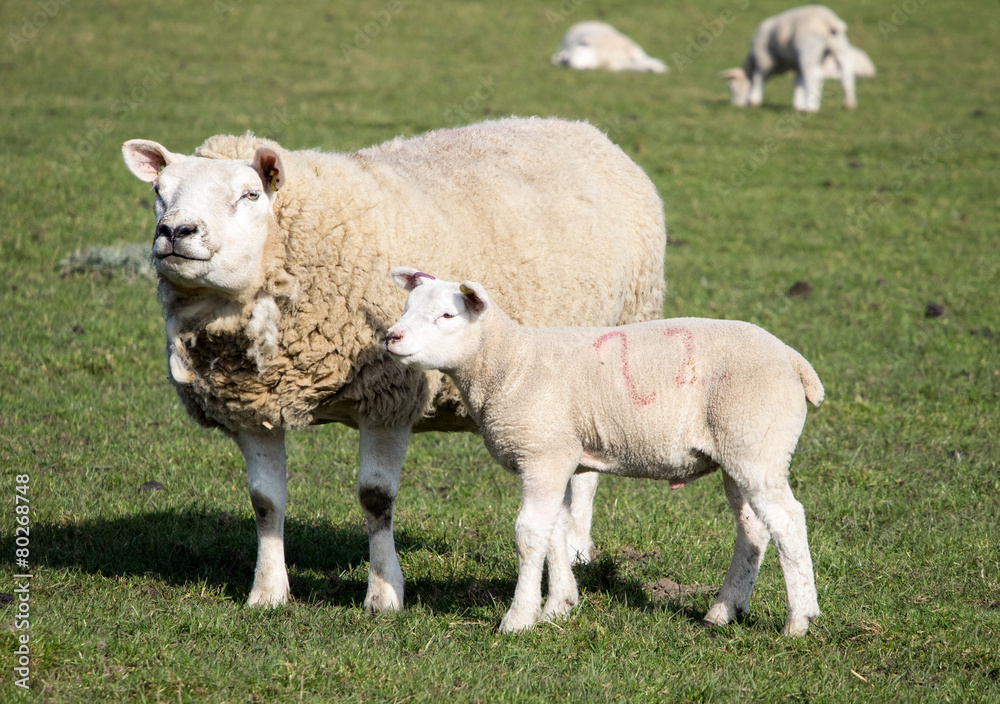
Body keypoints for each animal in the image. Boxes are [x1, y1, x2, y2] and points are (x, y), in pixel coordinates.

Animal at [120, 117, 667, 612]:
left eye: (250, 195)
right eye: (159, 192)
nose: (176, 230)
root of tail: (580, 127)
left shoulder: (389, 395)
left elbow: (375, 498)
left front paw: (384, 594)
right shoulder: (254, 406)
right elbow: (265, 502)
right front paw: (268, 593)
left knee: (586, 474)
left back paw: (575, 546)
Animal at [385, 269, 824, 637]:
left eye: (447, 315)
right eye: (407, 307)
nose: (392, 337)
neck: (512, 363)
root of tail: (793, 359)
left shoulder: (542, 453)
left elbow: (530, 534)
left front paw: (519, 618)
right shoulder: (562, 455)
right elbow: (557, 529)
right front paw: (559, 606)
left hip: (757, 444)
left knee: (788, 521)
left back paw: (798, 620)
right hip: (737, 452)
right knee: (753, 528)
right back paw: (723, 610)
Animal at [720, 5, 860, 111]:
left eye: (732, 87)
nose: (735, 105)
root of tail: (828, 20)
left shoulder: (765, 59)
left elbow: (758, 78)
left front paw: (754, 101)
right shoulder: (796, 64)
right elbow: (798, 81)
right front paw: (797, 105)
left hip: (808, 47)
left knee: (814, 75)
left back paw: (811, 107)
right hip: (839, 43)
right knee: (846, 70)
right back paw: (848, 105)